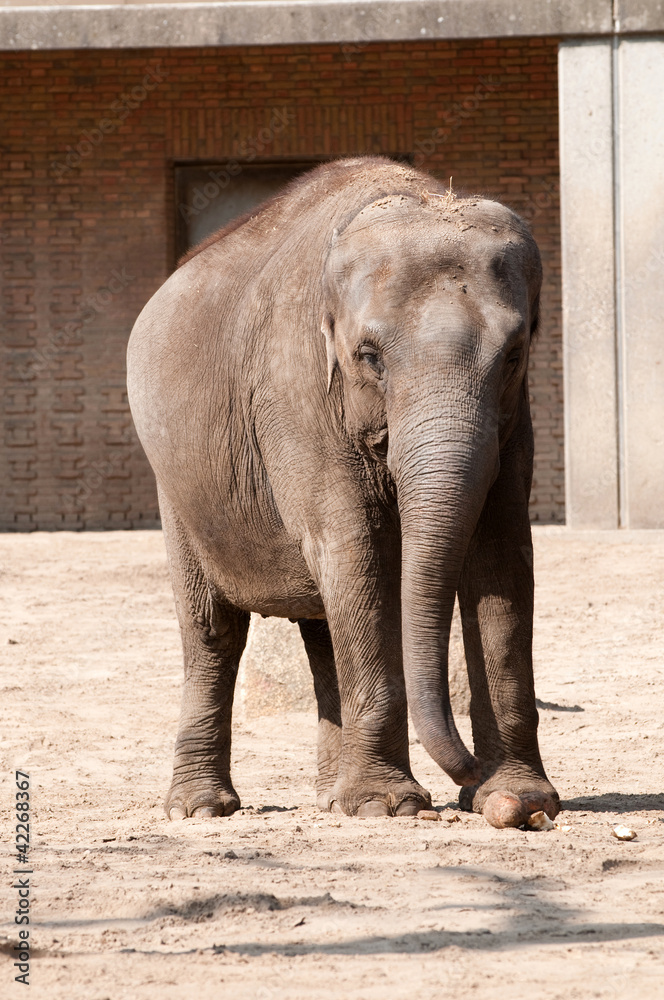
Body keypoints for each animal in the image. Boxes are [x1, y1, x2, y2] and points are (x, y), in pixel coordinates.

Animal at [127, 156, 559, 829]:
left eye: (515, 354)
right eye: (369, 356)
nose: (466, 777)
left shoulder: (515, 419)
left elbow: (502, 561)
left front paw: (521, 802)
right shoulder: (296, 394)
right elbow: (357, 551)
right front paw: (391, 808)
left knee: (323, 625)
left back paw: (330, 796)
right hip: (176, 484)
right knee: (213, 629)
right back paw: (202, 809)